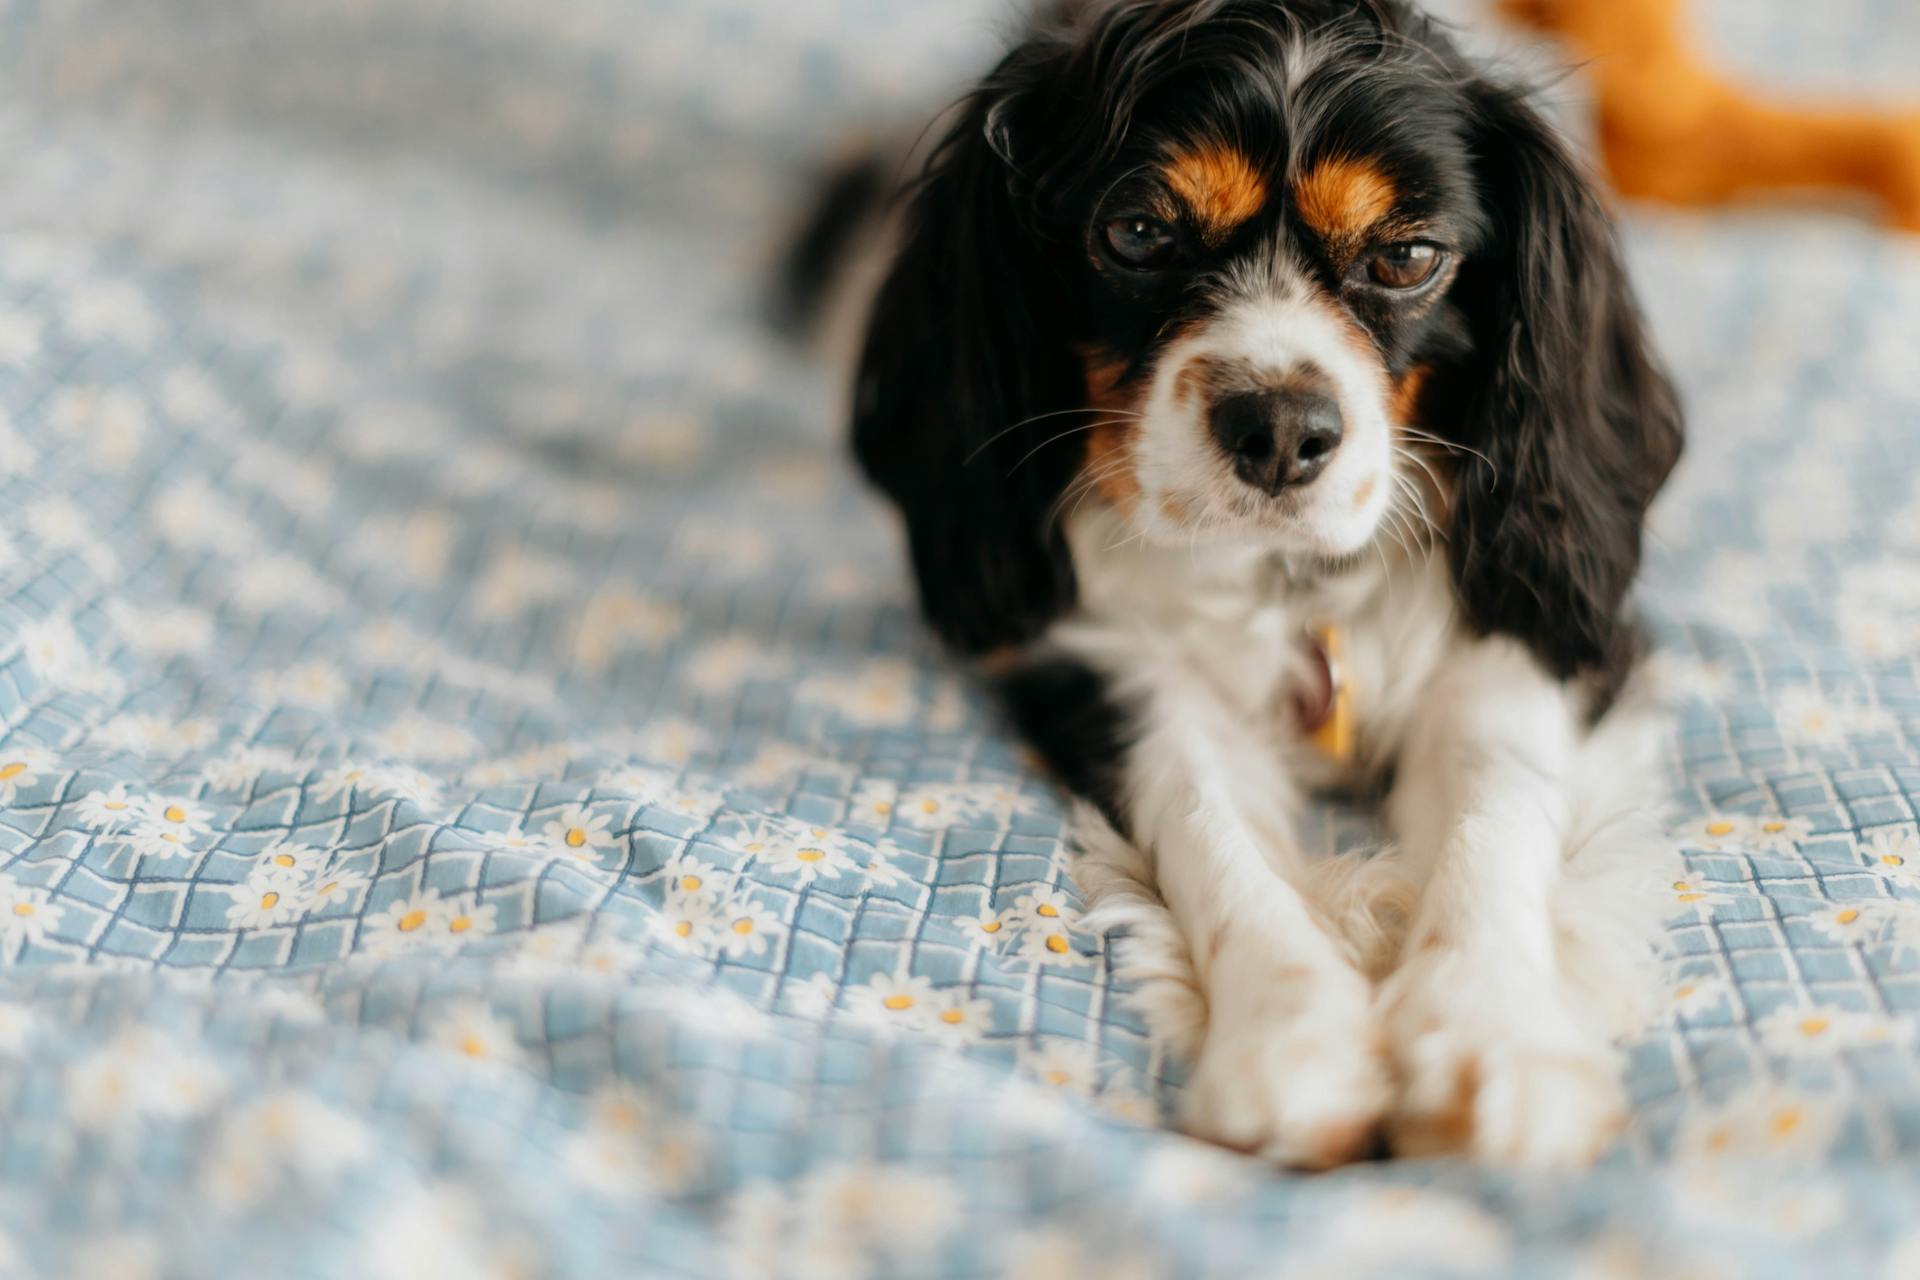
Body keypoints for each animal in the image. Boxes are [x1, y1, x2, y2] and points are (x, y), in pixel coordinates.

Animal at [802, 0, 1689, 1166]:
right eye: (1137, 234)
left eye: (1408, 255)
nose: (1278, 428)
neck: (1288, 583)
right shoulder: (1105, 667)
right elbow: (1209, 826)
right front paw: (1289, 1042)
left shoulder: (1525, 636)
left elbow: (1492, 816)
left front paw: (1495, 1041)